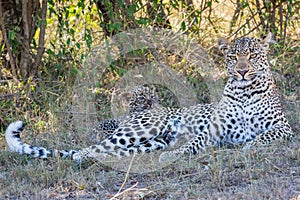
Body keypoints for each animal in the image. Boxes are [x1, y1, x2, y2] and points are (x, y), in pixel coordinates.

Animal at [5, 32, 294, 163]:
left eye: (253, 55)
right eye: (233, 56)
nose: (242, 71)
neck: (245, 92)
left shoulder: (285, 128)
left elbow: (264, 135)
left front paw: (250, 146)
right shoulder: (214, 128)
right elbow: (197, 141)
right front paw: (176, 156)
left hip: (146, 143)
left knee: (110, 150)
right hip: (139, 130)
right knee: (93, 147)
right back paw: (83, 156)